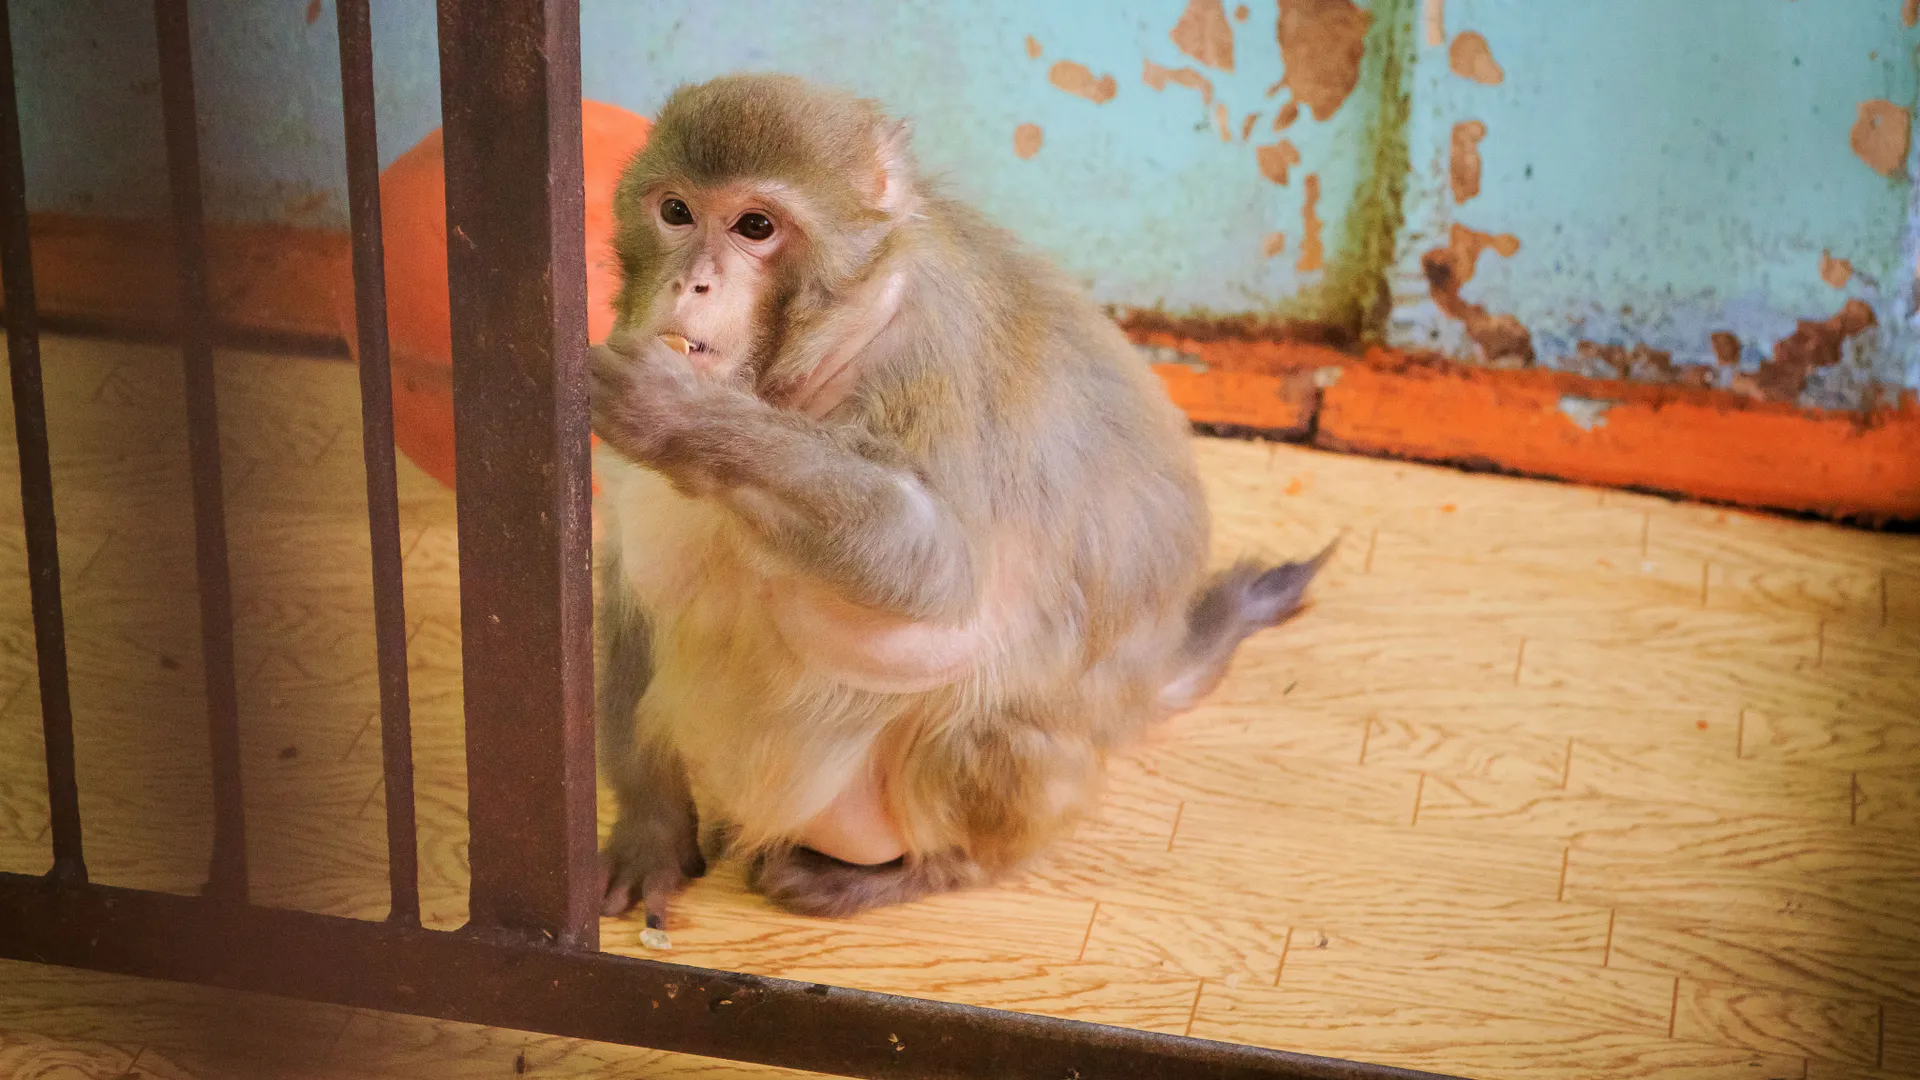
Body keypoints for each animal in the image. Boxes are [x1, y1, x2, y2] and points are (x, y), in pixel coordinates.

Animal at [589, 74, 1332, 924]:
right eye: (677, 212)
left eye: (755, 226)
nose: (693, 283)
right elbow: (630, 589)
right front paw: (649, 830)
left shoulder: (925, 360)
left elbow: (936, 567)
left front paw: (679, 418)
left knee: (977, 732)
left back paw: (924, 871)